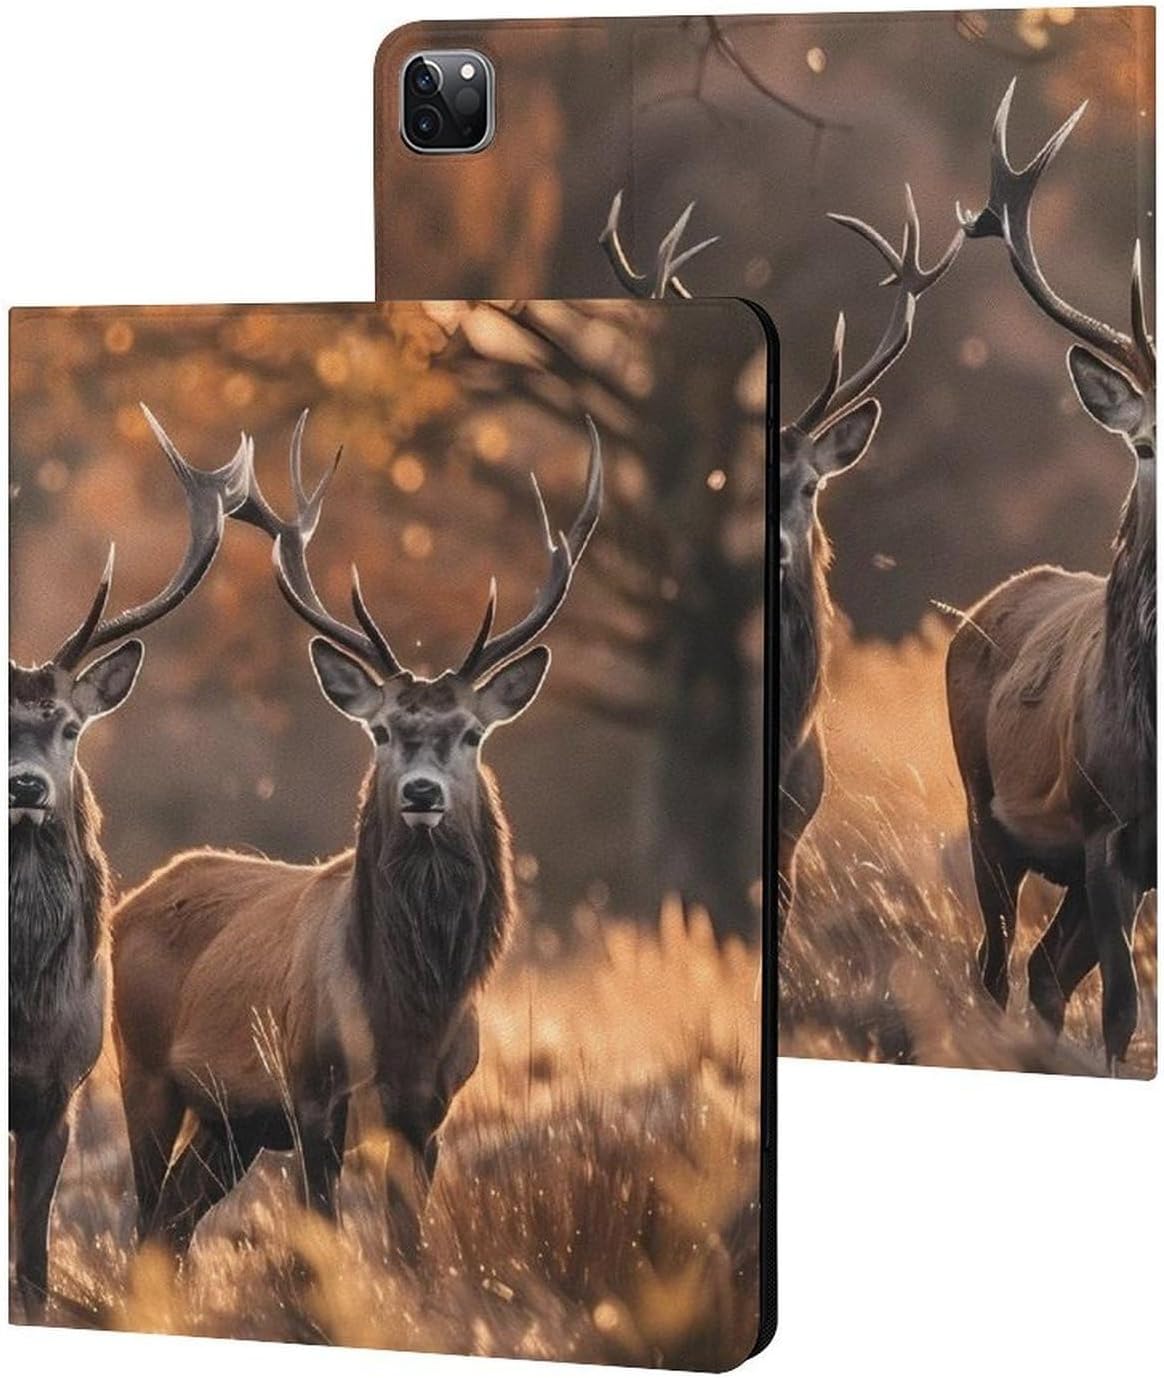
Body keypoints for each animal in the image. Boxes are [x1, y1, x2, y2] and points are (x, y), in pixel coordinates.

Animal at [111, 411, 602, 1261]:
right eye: (380, 730)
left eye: (471, 733)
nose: (421, 793)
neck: (409, 1014)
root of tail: (130, 899)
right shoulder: (312, 1094)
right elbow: (323, 1242)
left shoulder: (428, 1114)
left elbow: (410, 1253)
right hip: (144, 1073)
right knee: (146, 1220)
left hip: (230, 1124)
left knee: (170, 1225)